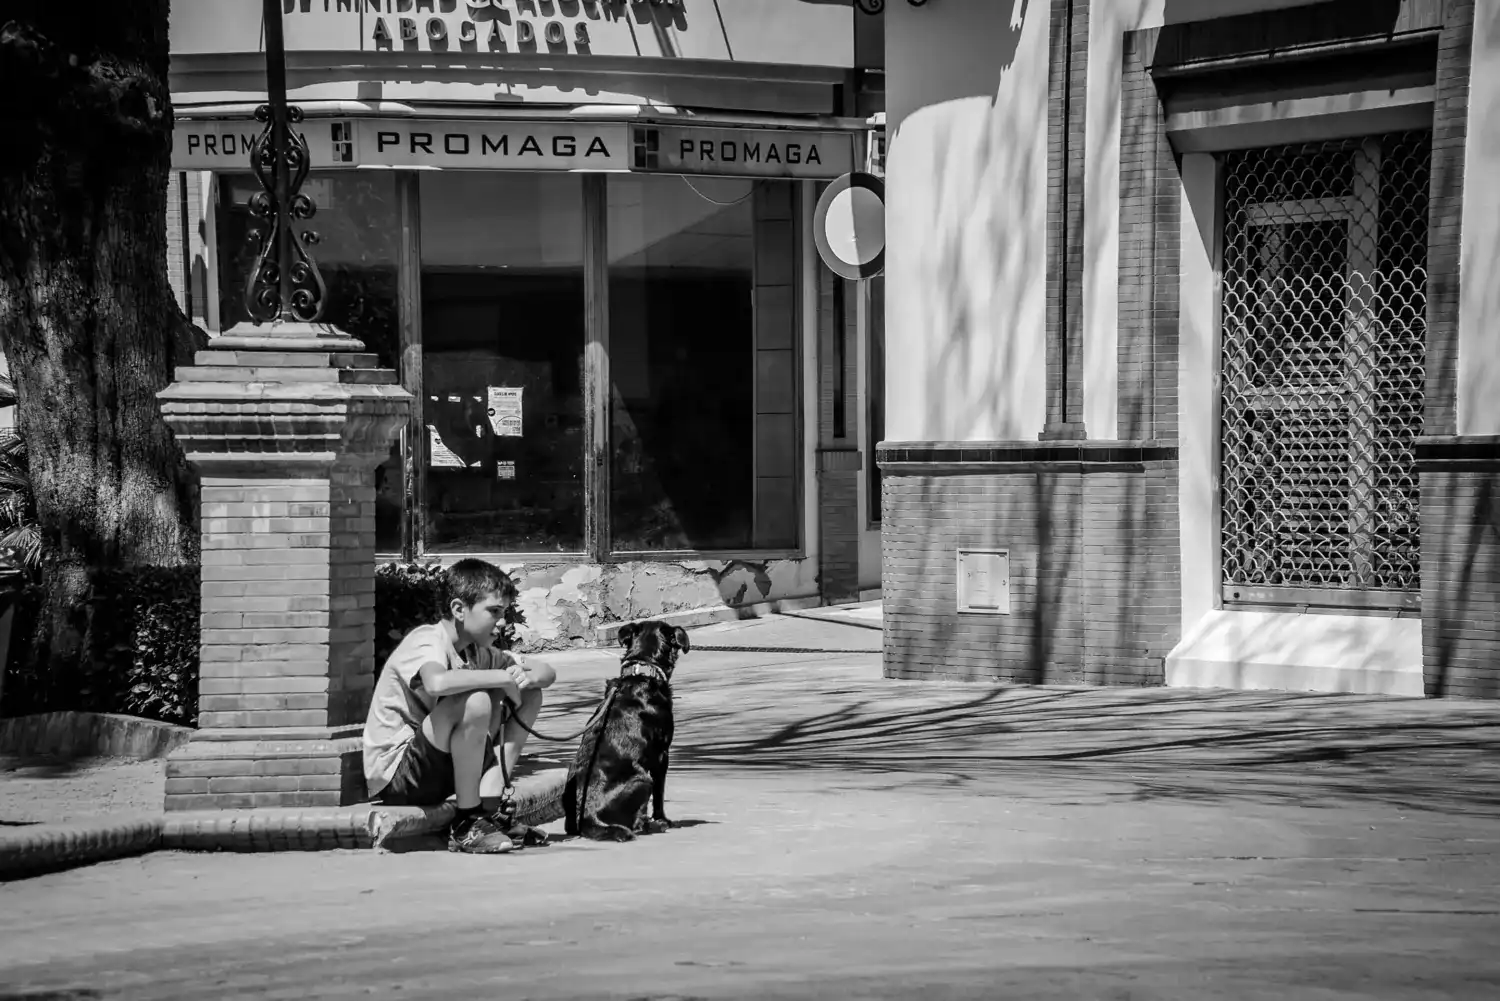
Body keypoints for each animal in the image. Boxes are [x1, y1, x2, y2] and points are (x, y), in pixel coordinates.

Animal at [563, 620, 688, 842]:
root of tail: (587, 816)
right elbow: (659, 794)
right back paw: (652, 826)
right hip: (643, 779)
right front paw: (663, 820)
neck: (643, 671)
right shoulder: (662, 755)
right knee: (638, 819)